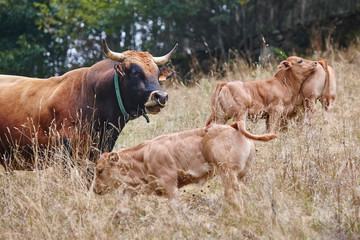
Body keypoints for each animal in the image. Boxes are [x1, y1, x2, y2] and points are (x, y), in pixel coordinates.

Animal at [93, 121, 276, 211]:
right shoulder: (147, 186)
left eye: (100, 170)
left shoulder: (170, 185)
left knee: (233, 195)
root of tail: (233, 125)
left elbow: (172, 208)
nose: (95, 190)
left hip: (227, 172)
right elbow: (124, 201)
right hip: (240, 175)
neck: (144, 156)